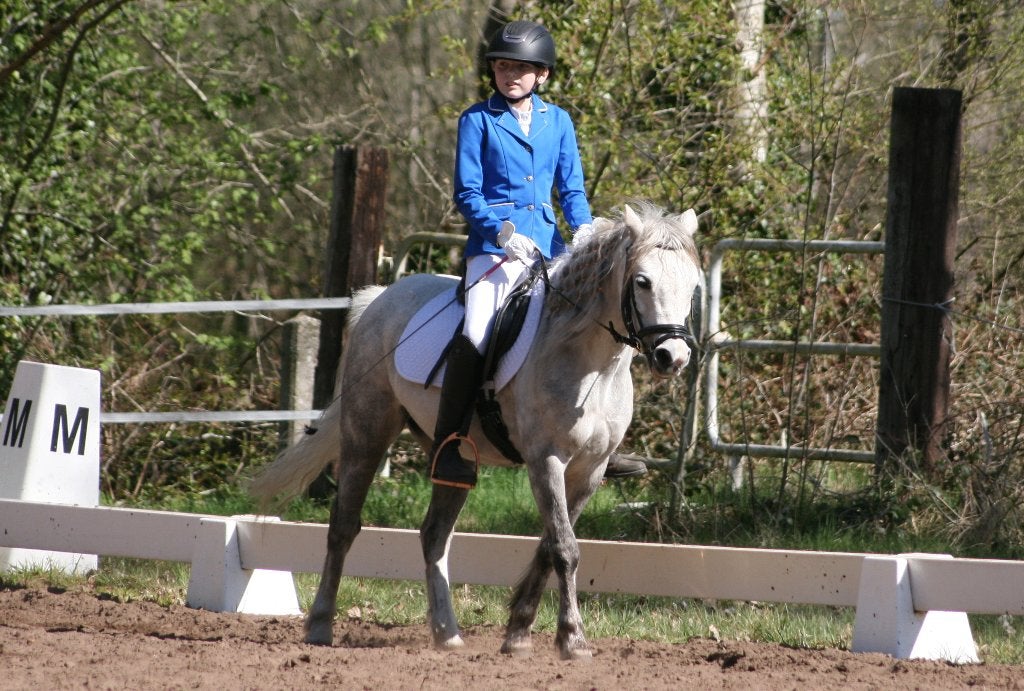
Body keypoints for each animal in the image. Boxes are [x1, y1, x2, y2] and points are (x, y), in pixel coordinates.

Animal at [250, 201, 701, 660]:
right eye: (642, 281)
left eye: (693, 286)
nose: (673, 357)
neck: (592, 363)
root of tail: (380, 298)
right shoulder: (546, 460)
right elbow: (564, 547)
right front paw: (572, 639)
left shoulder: (589, 470)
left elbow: (550, 545)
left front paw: (519, 632)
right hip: (367, 433)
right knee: (343, 525)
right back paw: (320, 625)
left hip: (454, 456)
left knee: (434, 536)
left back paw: (447, 634)